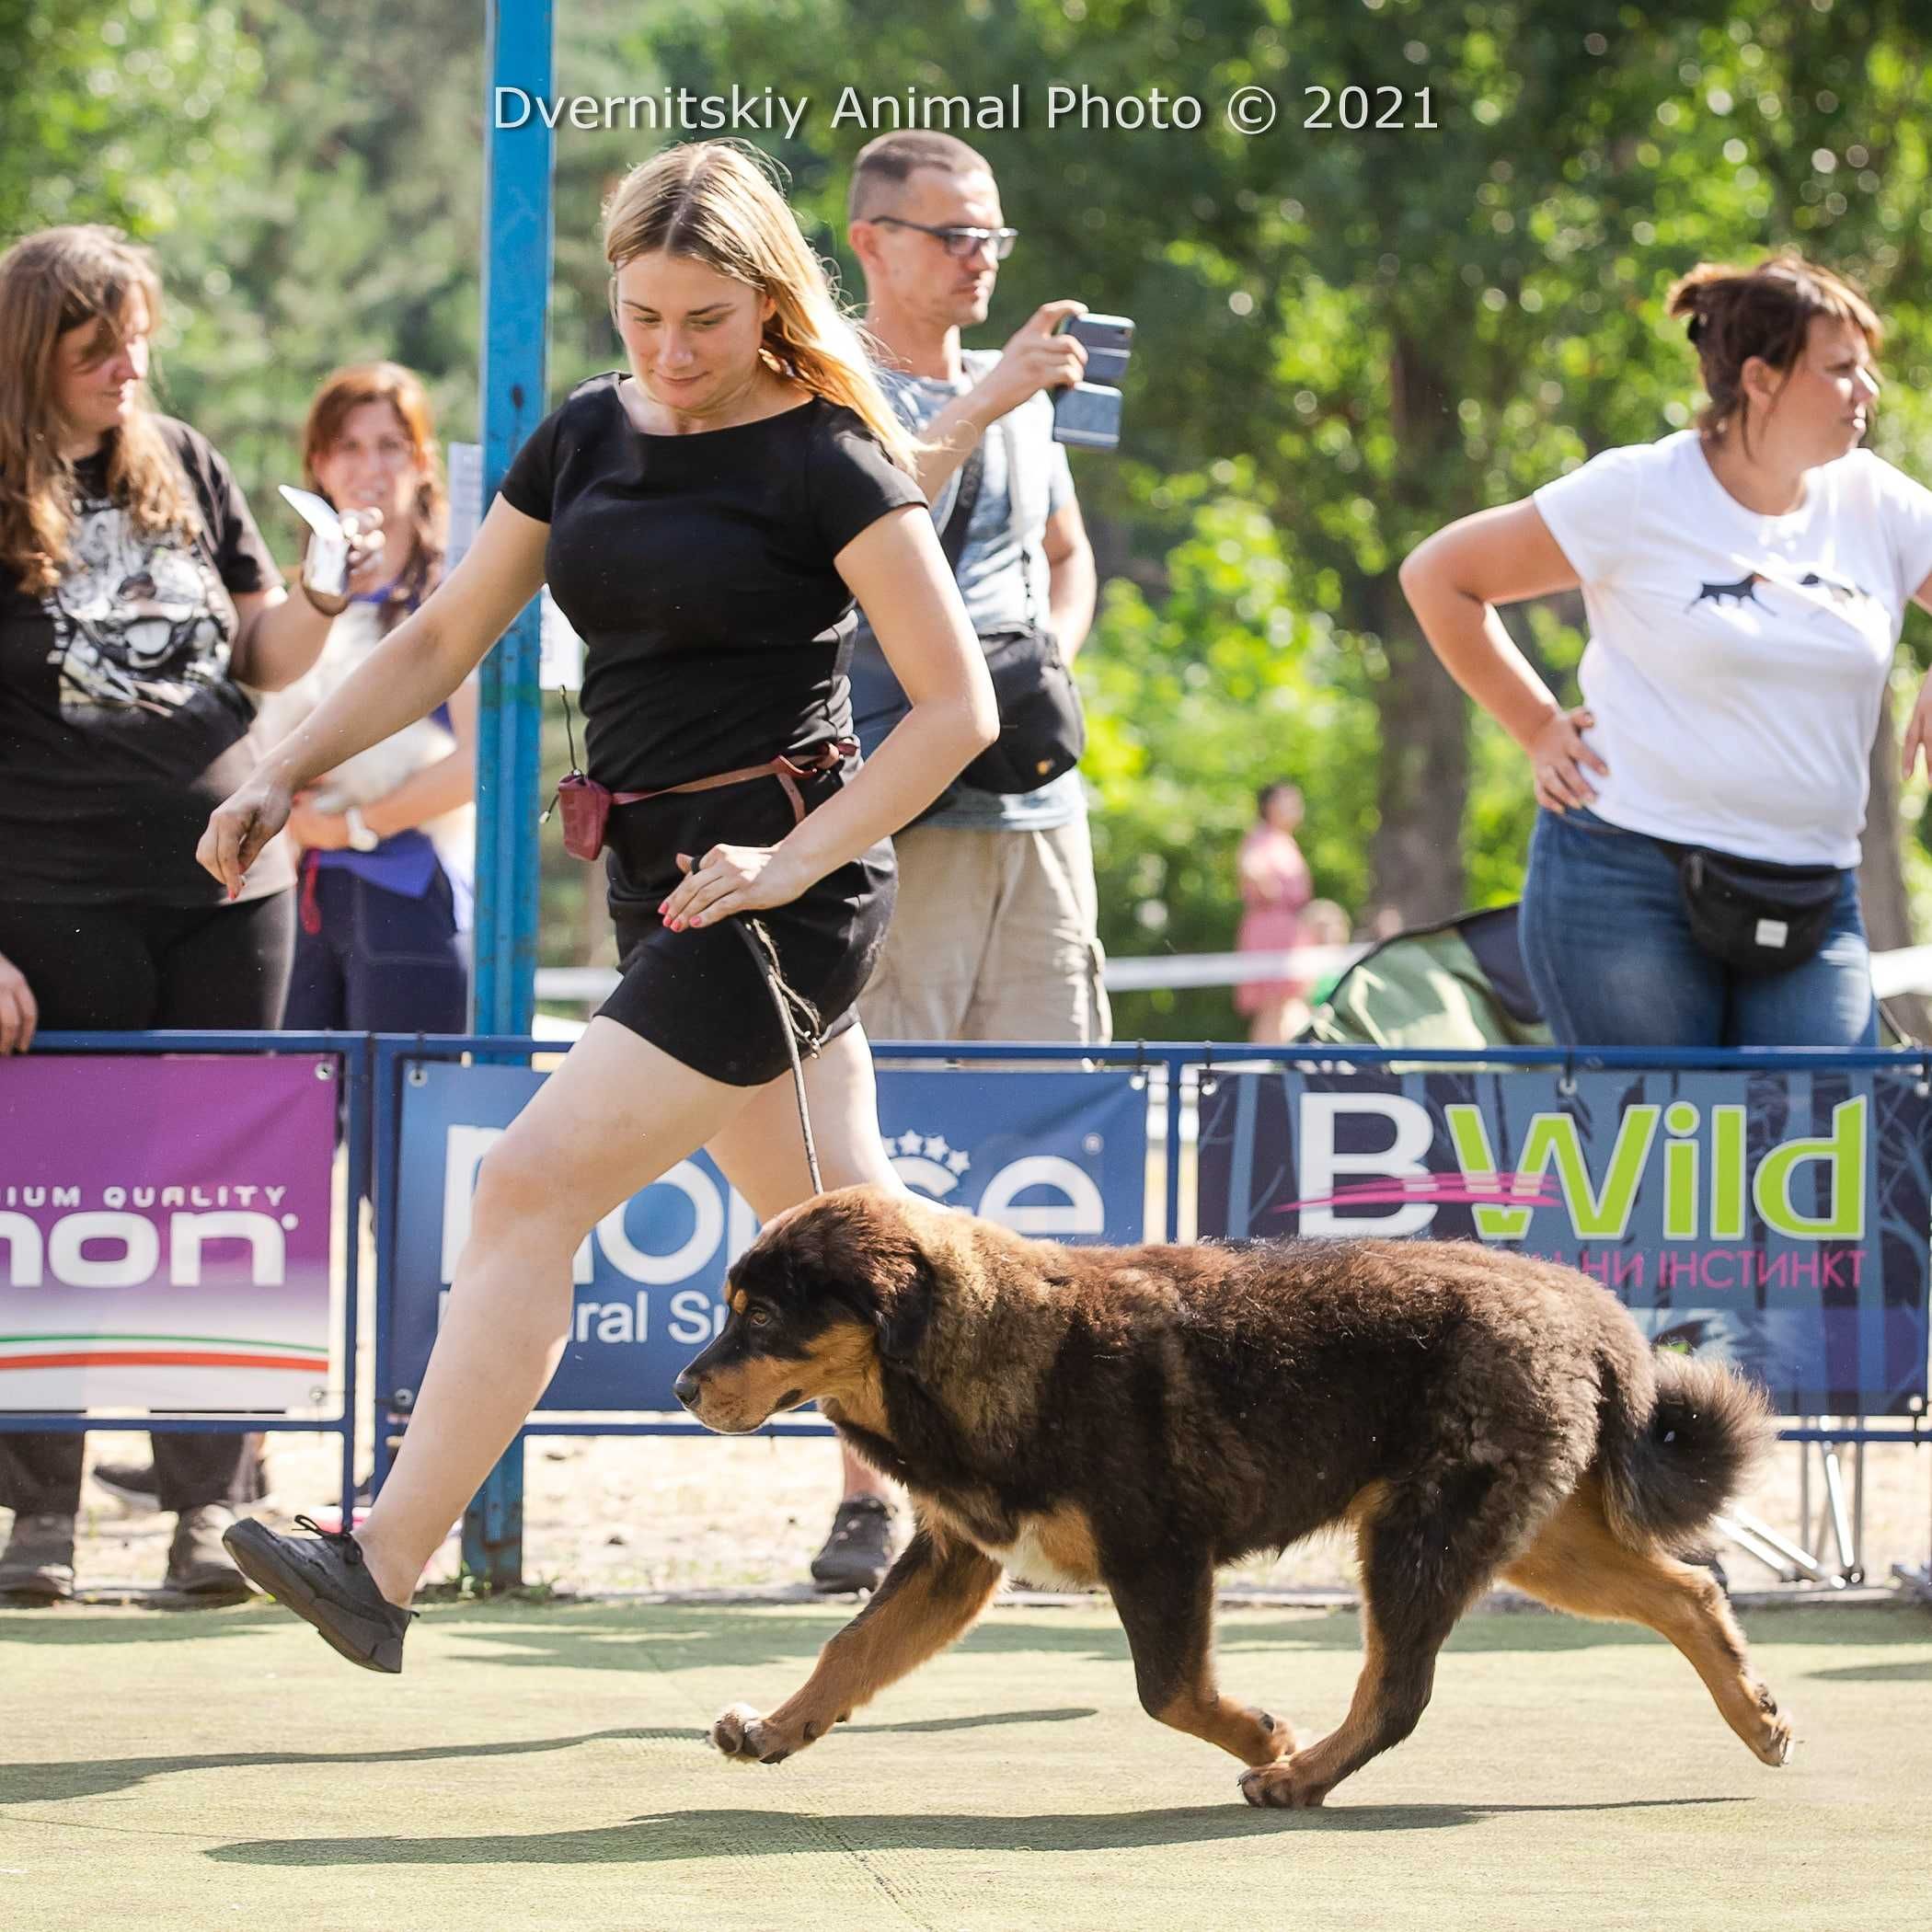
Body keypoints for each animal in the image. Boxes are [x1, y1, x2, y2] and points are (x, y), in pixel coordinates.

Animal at [672, 1182, 1785, 1800]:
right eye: (730, 1308)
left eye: (762, 1316)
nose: (682, 1387)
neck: (991, 1346)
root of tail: (1589, 1308)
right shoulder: (956, 1559)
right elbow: (852, 1651)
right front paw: (777, 1730)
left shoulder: (1159, 1554)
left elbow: (1167, 1690)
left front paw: (1261, 1733)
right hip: (1531, 1534)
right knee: (1688, 1591)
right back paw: (1756, 1716)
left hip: (1423, 1535)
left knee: (1399, 1691)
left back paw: (1298, 1776)